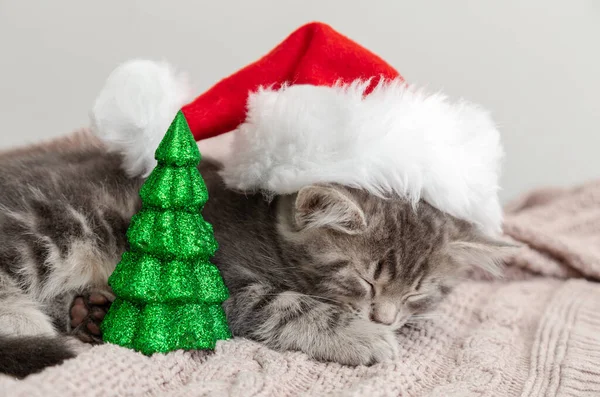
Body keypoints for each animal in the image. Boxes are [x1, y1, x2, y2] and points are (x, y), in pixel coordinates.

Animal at [0, 134, 510, 378]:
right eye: (365, 280)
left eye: (418, 294)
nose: (384, 318)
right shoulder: (206, 280)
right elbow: (285, 304)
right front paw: (363, 336)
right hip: (59, 220)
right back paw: (32, 324)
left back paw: (91, 313)